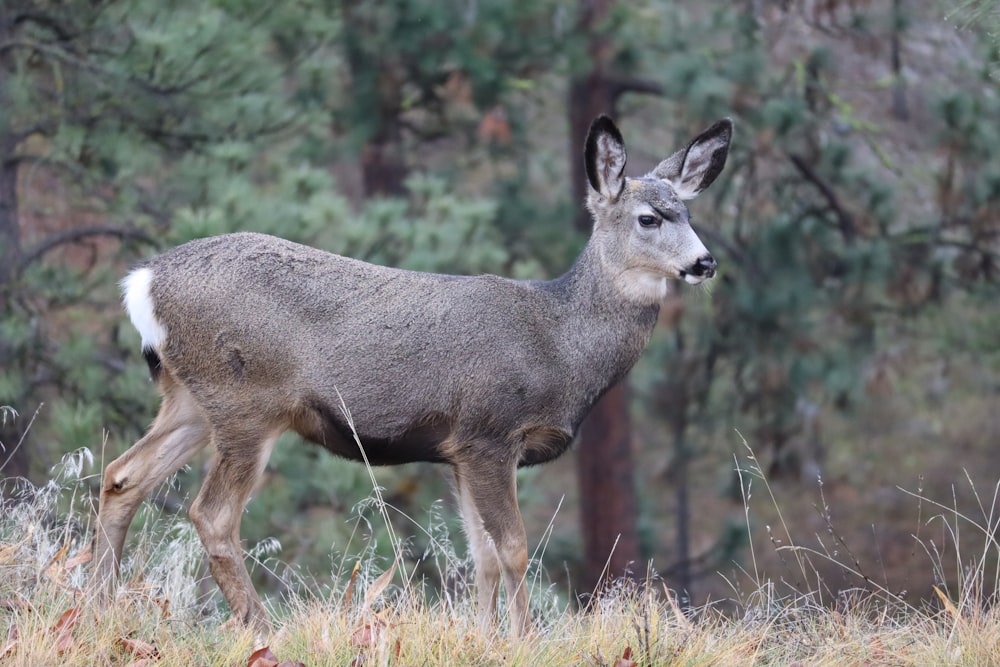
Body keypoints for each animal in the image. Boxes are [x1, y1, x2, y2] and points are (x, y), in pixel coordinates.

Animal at [92, 116, 736, 640]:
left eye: (690, 213)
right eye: (649, 218)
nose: (705, 262)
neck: (559, 344)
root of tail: (143, 281)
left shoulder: (458, 453)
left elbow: (480, 555)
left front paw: (485, 638)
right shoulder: (489, 433)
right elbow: (514, 548)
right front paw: (524, 639)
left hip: (192, 398)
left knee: (122, 476)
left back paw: (102, 603)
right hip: (248, 400)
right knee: (211, 514)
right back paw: (263, 630)